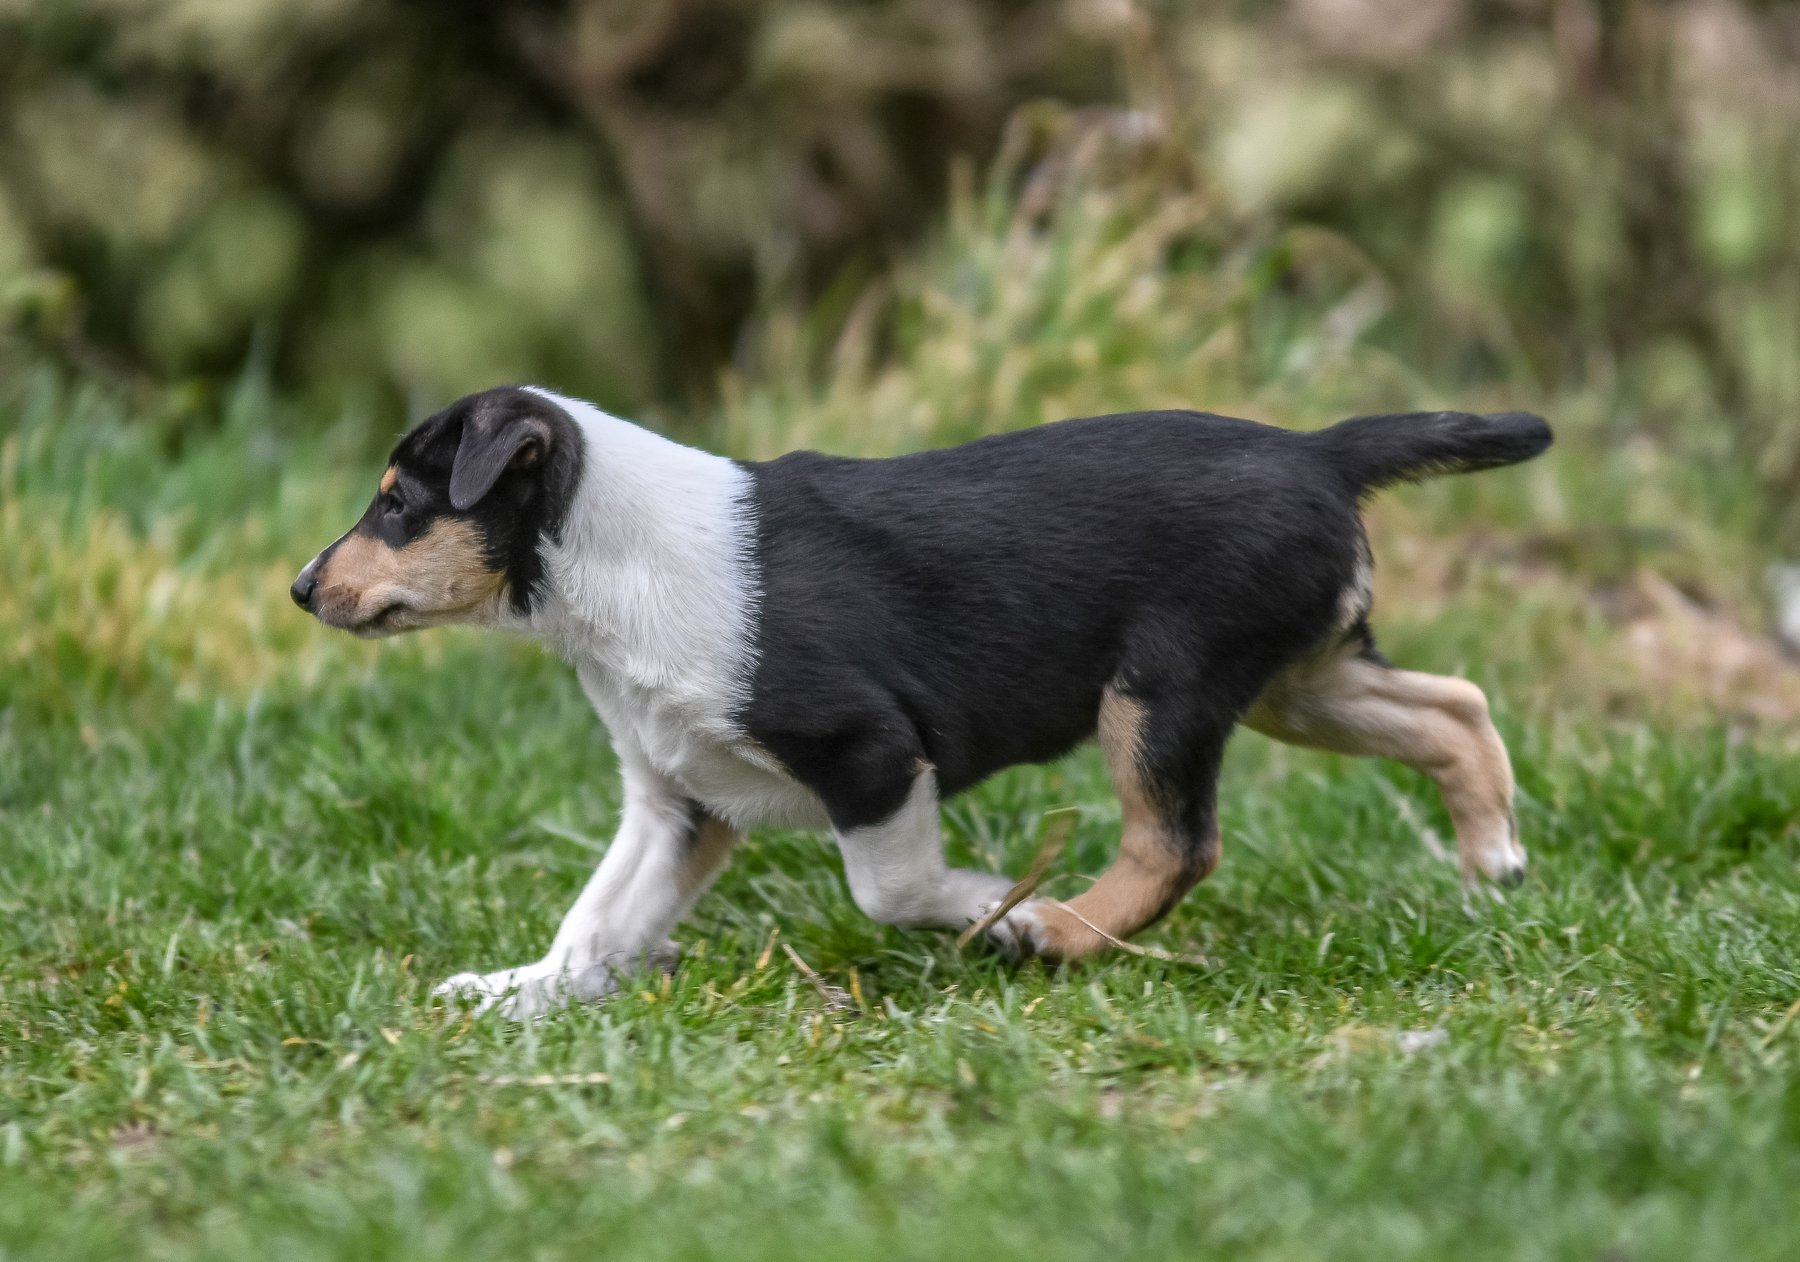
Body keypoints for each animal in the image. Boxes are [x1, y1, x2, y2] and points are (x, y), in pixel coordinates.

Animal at [295, 383, 1548, 1015]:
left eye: (399, 501)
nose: (303, 587)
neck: (610, 562)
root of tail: (1320, 449)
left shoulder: (870, 749)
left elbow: (889, 887)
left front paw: (994, 903)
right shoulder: (677, 799)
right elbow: (598, 913)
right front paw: (522, 991)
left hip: (1158, 688)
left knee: (1180, 841)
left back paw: (1064, 926)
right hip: (1300, 675)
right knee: (1455, 704)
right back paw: (1493, 861)